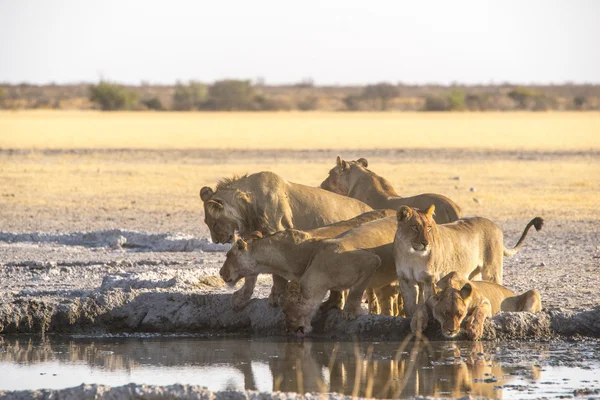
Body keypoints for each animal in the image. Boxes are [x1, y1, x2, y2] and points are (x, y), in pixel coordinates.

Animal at [199, 172, 372, 310]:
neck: (248, 208)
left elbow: (276, 274)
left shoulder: (276, 233)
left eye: (213, 224)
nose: (216, 241)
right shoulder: (251, 241)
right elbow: (250, 273)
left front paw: (276, 297)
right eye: (207, 223)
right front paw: (241, 299)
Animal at [394, 205, 544, 318]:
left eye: (429, 227)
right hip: (473, 274)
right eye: (415, 227)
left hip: (492, 271)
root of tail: (494, 225)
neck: (411, 254)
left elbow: (429, 300)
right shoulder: (405, 280)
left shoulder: (430, 279)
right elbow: (409, 306)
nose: (426, 243)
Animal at [412, 270, 544, 340]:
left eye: (460, 314)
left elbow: (480, 311)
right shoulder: (428, 300)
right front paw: (417, 324)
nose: (451, 331)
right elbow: (419, 307)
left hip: (534, 292)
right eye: (445, 313)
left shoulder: (485, 302)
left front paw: (474, 329)